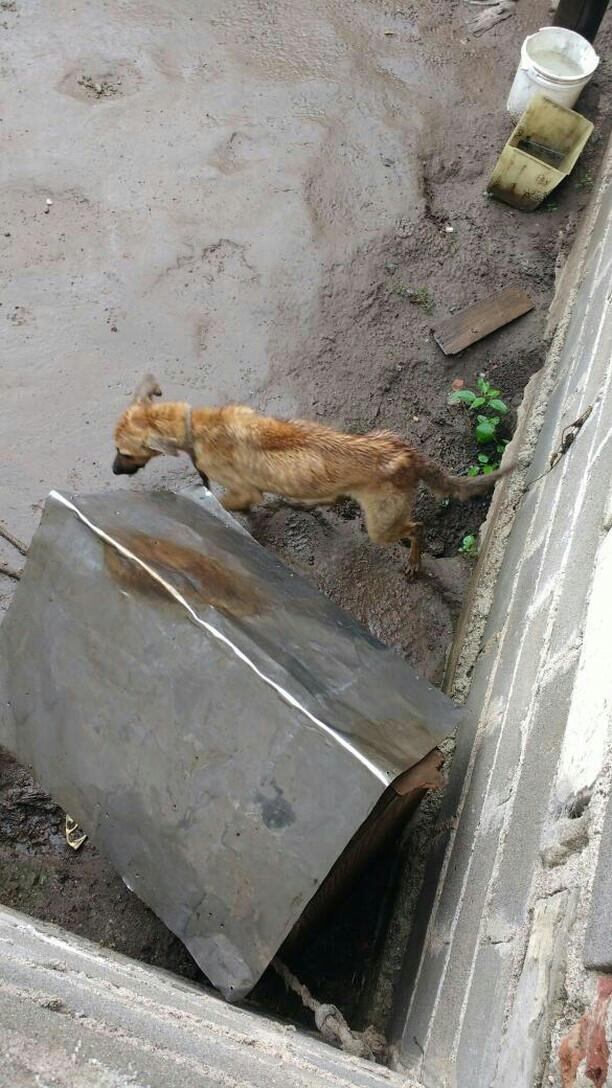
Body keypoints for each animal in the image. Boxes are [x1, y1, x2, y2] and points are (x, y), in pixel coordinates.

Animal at [112, 376, 511, 578]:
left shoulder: (243, 492)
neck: (194, 426)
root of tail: (408, 455)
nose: (114, 471)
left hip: (381, 524)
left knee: (418, 527)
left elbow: (231, 503)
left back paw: (414, 562)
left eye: (124, 452)